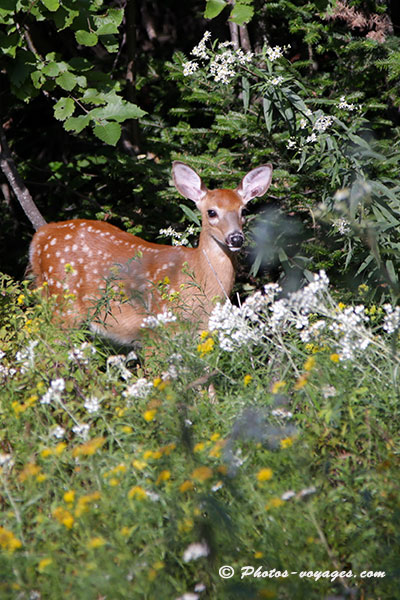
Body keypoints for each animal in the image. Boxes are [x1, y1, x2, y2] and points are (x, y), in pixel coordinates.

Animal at [28, 162, 272, 344]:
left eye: (243, 211)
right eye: (211, 212)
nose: (236, 238)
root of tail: (40, 236)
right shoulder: (156, 329)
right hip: (63, 304)